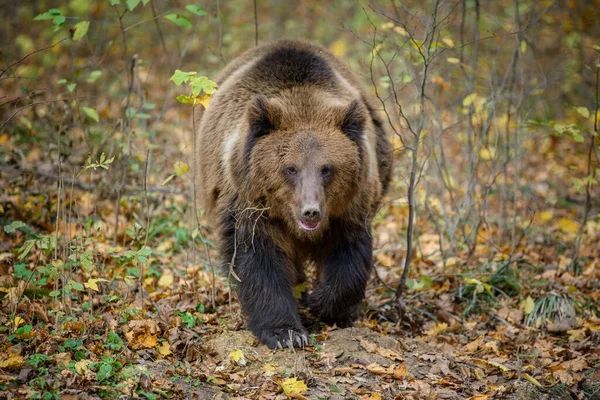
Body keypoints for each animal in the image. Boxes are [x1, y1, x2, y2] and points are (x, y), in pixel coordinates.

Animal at [197, 39, 394, 348]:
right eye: (290, 168)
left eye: (327, 168)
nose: (310, 211)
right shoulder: (250, 205)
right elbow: (258, 261)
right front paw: (286, 332)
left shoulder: (349, 207)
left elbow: (348, 254)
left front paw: (324, 304)